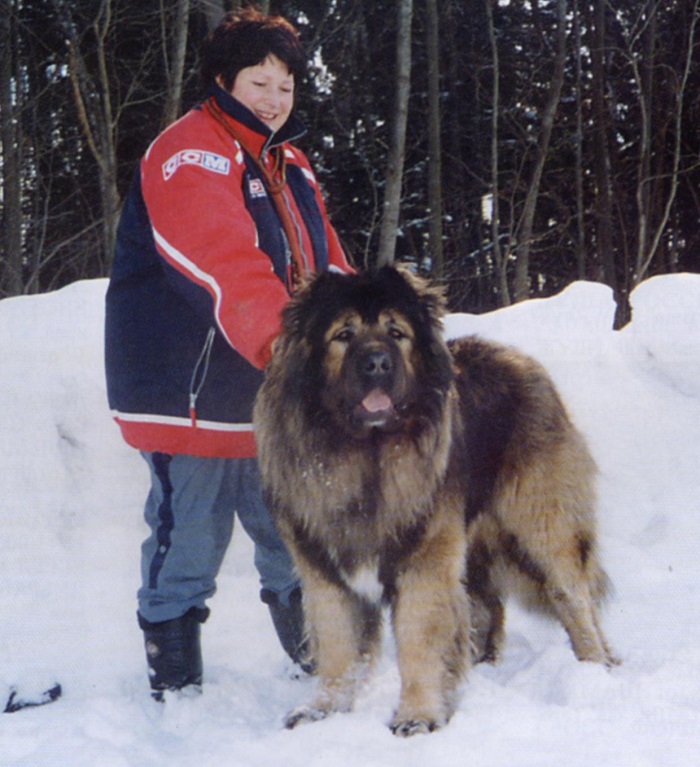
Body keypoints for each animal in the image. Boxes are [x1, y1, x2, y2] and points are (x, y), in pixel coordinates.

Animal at [254, 266, 616, 736]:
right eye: (344, 335)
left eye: (396, 333)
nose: (378, 362)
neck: (363, 455)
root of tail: (520, 360)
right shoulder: (325, 569)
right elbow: (338, 644)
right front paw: (324, 707)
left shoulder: (423, 561)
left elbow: (419, 638)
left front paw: (418, 714)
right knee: (487, 603)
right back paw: (482, 664)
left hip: (540, 524)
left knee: (573, 596)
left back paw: (594, 666)